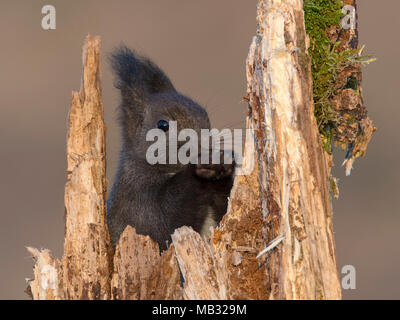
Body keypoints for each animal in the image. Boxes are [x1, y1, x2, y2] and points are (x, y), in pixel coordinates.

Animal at [108, 45, 236, 250]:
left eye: (206, 116)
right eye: (163, 125)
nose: (205, 147)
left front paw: (225, 163)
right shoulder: (139, 208)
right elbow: (165, 225)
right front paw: (197, 170)